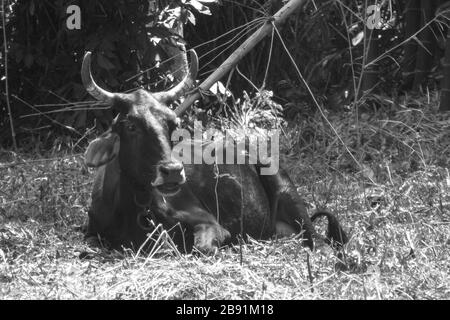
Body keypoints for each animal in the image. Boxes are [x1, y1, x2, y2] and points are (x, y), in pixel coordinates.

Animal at [81, 50, 348, 254]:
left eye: (173, 123)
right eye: (130, 125)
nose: (172, 172)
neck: (133, 205)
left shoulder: (209, 222)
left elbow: (202, 247)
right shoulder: (91, 231)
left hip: (287, 192)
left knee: (319, 240)